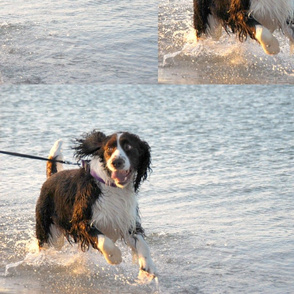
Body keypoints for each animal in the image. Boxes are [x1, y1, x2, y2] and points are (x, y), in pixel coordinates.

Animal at [35, 131, 156, 278]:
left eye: (129, 146)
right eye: (109, 148)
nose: (116, 162)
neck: (112, 186)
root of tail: (52, 177)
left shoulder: (127, 220)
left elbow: (142, 244)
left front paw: (148, 266)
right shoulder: (80, 221)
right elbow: (104, 241)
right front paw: (115, 257)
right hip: (47, 228)